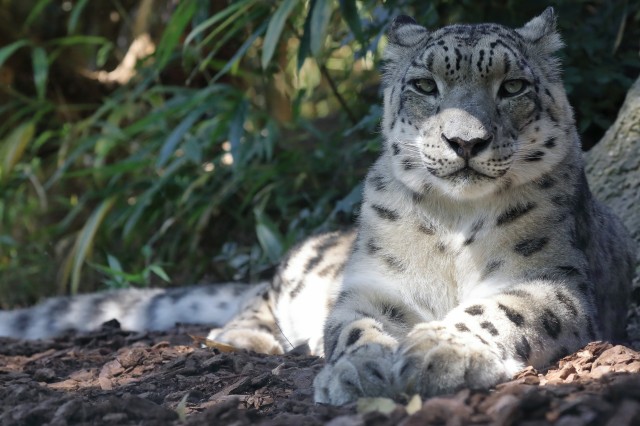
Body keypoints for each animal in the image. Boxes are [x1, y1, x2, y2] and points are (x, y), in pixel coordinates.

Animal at [0, 6, 632, 406]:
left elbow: (496, 311)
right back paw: (249, 339)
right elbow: (355, 327)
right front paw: (358, 369)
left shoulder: (548, 280)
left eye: (513, 87)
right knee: (256, 299)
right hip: (298, 269)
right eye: (425, 85)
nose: (465, 142)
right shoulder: (375, 284)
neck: (454, 222)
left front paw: (438, 353)